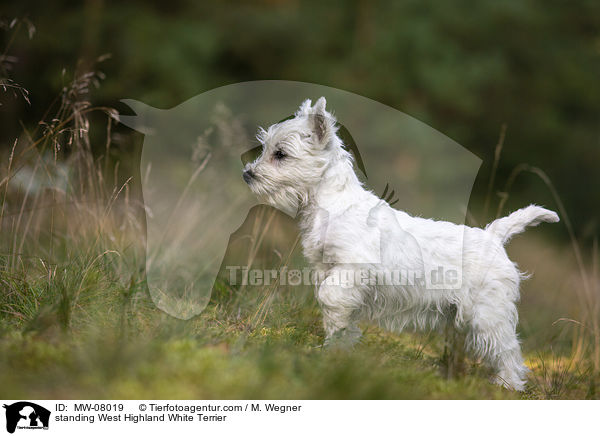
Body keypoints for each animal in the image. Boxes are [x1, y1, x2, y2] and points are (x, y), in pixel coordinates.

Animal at [241, 97, 560, 390]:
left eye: (280, 154)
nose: (247, 174)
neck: (333, 204)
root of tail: (494, 235)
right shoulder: (330, 271)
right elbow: (338, 313)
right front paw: (339, 346)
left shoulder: (351, 269)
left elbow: (329, 298)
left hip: (487, 313)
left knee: (508, 351)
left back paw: (507, 385)